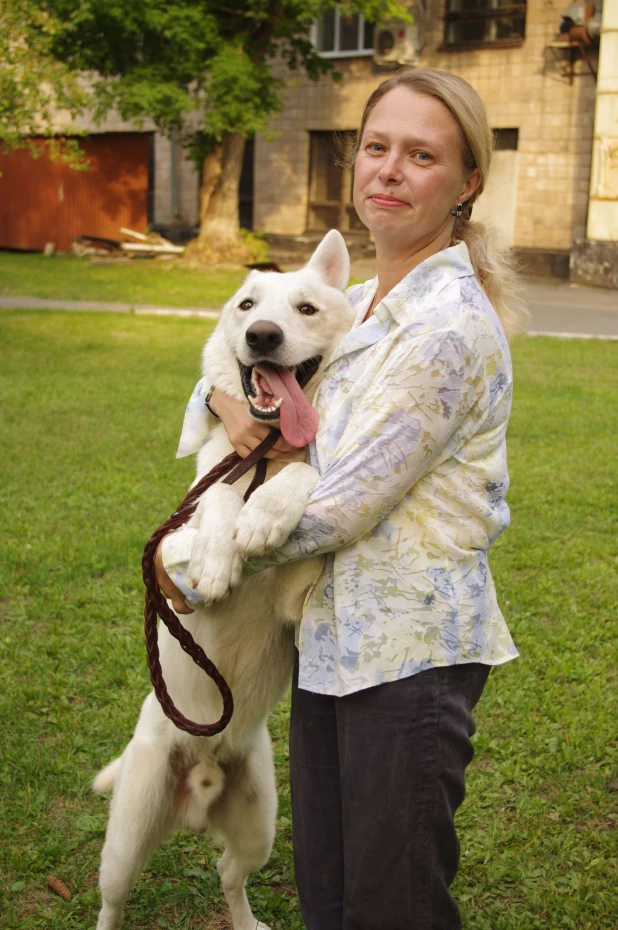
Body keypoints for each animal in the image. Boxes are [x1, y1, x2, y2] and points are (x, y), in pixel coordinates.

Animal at [91, 227, 352, 928]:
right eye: (247, 306)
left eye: (307, 309)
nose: (262, 335)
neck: (266, 450)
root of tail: (201, 775)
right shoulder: (184, 529)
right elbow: (216, 499)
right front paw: (217, 553)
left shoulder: (298, 592)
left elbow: (304, 475)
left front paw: (265, 516)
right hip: (125, 839)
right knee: (111, 902)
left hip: (261, 823)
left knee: (228, 875)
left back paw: (247, 920)